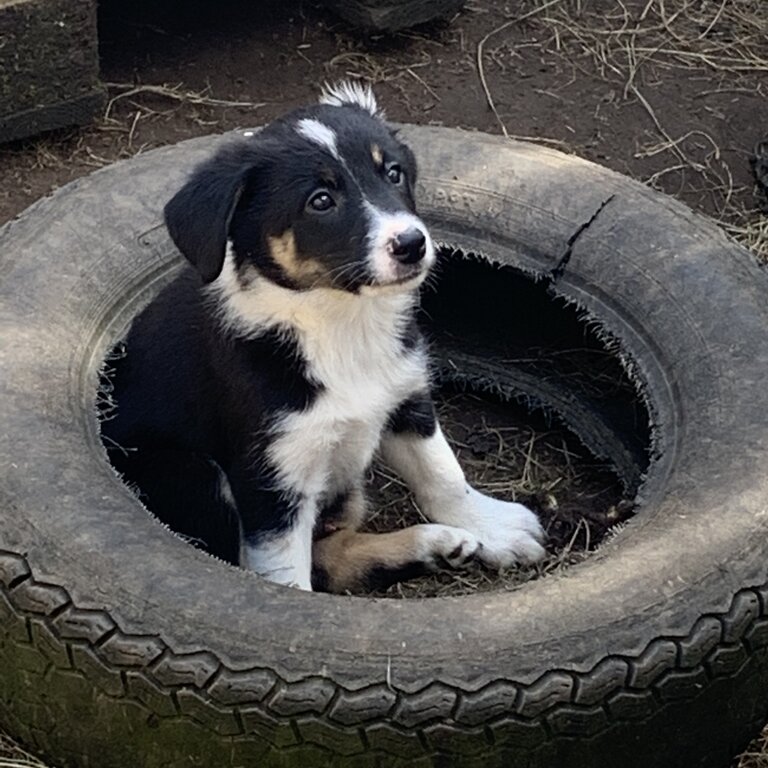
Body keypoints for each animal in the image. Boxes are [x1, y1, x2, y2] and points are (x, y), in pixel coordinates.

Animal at [103, 81, 544, 592]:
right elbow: (287, 577)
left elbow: (442, 471)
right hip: (190, 471)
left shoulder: (405, 395)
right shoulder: (272, 476)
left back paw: (432, 545)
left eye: (393, 173)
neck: (340, 320)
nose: (413, 244)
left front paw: (494, 527)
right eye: (320, 201)